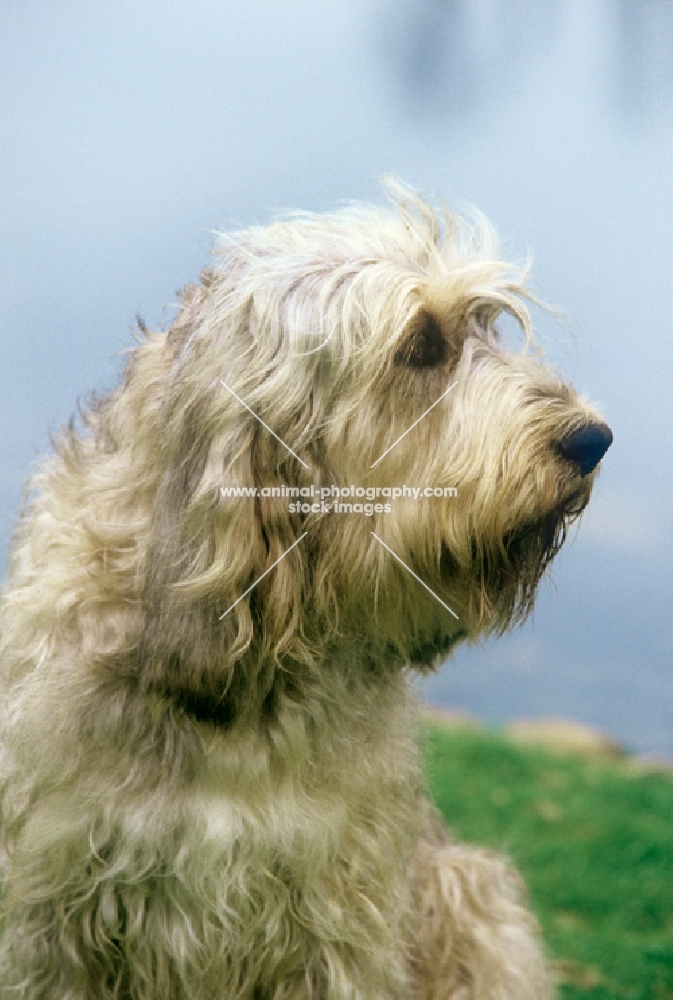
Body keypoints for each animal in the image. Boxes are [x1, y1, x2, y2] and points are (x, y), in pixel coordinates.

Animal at [0, 184, 608, 996]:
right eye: (421, 345)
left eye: (487, 326)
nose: (593, 440)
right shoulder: (54, 919)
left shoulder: (335, 914)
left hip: (470, 894)